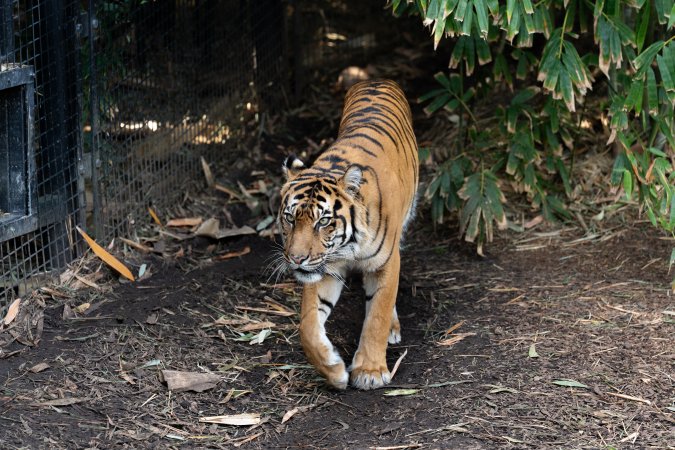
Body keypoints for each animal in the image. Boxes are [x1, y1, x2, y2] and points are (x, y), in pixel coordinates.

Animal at [277, 79, 419, 390]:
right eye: (290, 218)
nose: (296, 259)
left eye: (323, 221)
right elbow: (307, 325)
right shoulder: (325, 267)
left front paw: (370, 372)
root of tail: (376, 79)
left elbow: (377, 315)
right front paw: (332, 369)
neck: (347, 247)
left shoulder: (386, 262)